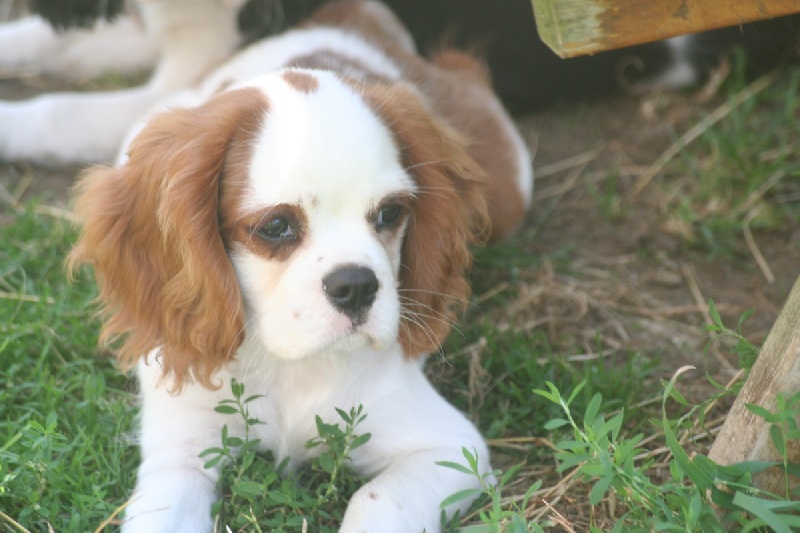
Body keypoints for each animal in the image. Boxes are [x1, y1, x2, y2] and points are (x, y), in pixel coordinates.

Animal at [67, 2, 532, 528]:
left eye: (390, 214)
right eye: (276, 226)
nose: (357, 287)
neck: (290, 366)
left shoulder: (452, 449)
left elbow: (375, 500)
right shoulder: (178, 458)